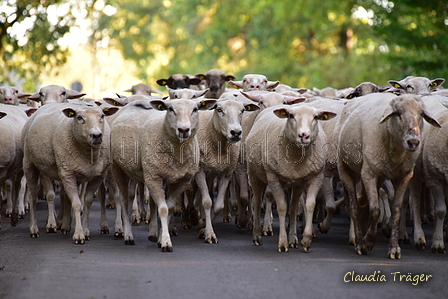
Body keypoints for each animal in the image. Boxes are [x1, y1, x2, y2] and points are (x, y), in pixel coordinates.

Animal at [22, 103, 119, 244]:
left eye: (102, 116)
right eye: (79, 118)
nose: (96, 135)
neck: (88, 153)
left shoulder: (97, 176)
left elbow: (87, 201)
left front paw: (85, 230)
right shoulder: (68, 173)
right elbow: (77, 204)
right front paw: (79, 235)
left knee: (65, 196)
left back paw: (65, 226)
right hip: (30, 164)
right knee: (32, 197)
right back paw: (34, 229)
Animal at [111, 99, 217, 253]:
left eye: (195, 109)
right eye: (170, 109)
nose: (183, 130)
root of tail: (134, 103)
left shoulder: (181, 181)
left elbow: (170, 208)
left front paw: (161, 238)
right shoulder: (154, 177)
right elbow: (163, 209)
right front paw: (166, 242)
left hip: (138, 171)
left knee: (132, 197)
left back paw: (151, 232)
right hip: (118, 167)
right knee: (124, 200)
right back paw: (128, 235)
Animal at [245, 104, 336, 252]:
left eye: (316, 117)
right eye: (291, 116)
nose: (304, 135)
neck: (298, 156)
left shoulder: (316, 177)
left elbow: (309, 204)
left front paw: (306, 240)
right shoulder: (274, 178)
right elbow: (282, 207)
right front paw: (282, 243)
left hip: (297, 184)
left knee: (293, 206)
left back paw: (293, 239)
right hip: (254, 174)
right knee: (256, 202)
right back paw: (257, 236)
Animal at [336, 94, 440, 260]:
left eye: (421, 115)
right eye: (398, 114)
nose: (413, 142)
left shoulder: (404, 176)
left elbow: (396, 210)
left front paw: (394, 248)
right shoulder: (369, 174)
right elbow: (375, 210)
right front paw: (368, 242)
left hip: (377, 175)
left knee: (363, 201)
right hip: (345, 168)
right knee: (353, 205)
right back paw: (359, 241)